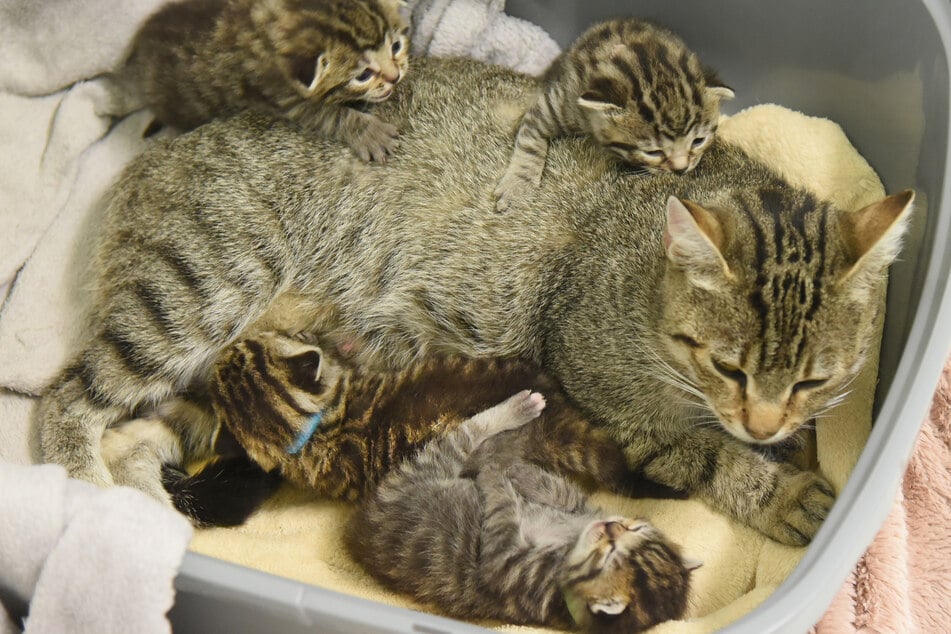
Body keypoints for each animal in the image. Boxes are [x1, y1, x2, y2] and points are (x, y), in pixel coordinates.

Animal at [37, 56, 916, 544]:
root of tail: (154, 152)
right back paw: (88, 494)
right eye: (728, 369)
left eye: (814, 379)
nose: (762, 423)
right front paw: (778, 491)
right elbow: (701, 454)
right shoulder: (611, 398)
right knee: (66, 400)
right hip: (199, 286)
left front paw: (788, 452)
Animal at [346, 388, 696, 628]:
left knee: (466, 434)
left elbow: (503, 512)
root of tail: (360, 525)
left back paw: (514, 414)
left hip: (427, 466)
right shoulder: (580, 507)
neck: (571, 543)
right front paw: (517, 474)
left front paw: (497, 475)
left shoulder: (509, 567)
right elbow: (561, 492)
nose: (611, 526)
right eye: (633, 528)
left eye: (611, 554)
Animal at [494, 17, 732, 209]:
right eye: (653, 152)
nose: (681, 169)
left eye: (698, 141)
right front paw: (519, 186)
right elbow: (531, 137)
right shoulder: (557, 102)